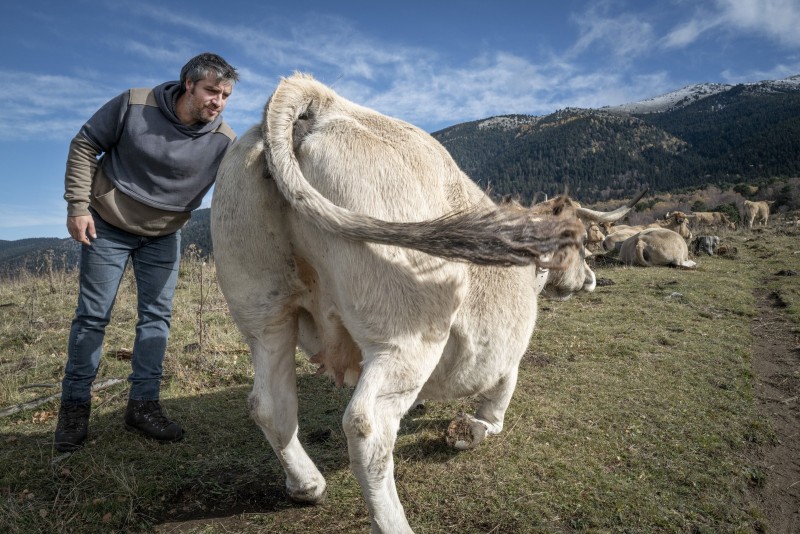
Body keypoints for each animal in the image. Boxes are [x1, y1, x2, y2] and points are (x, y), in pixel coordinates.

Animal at [211, 73, 630, 533]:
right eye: (581, 246)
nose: (589, 279)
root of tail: (324, 101)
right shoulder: (507, 358)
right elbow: (496, 408)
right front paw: (473, 430)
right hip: (406, 335)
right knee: (367, 424)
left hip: (264, 315)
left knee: (271, 405)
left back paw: (308, 485)